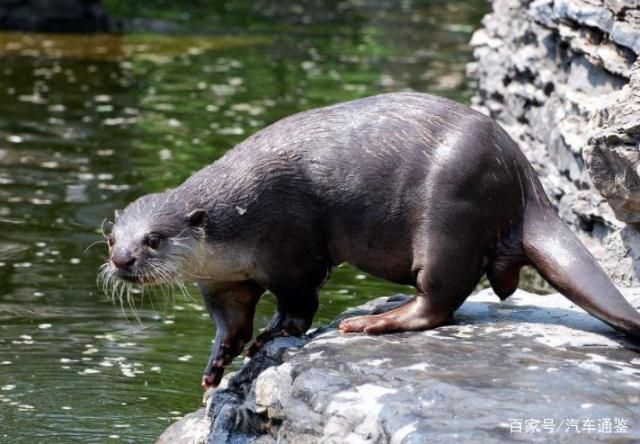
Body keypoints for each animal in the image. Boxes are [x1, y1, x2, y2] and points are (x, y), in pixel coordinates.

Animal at [101, 93, 640, 388]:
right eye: (112, 238)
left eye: (154, 239)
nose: (123, 260)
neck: (237, 218)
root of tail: (521, 172)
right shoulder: (223, 282)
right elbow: (230, 324)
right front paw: (216, 366)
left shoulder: (290, 247)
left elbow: (297, 305)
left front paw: (272, 336)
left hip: (451, 210)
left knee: (440, 299)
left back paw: (373, 321)